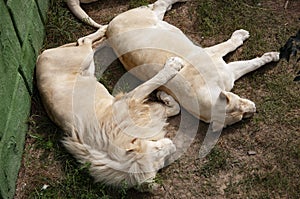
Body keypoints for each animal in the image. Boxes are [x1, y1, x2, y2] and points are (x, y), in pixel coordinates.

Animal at [36, 27, 184, 187]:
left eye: (162, 162)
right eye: (158, 150)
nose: (173, 146)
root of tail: (39, 57)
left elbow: (173, 108)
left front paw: (165, 97)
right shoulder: (128, 100)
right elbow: (156, 81)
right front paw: (173, 67)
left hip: (87, 65)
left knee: (85, 42)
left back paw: (105, 34)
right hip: (83, 59)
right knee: (84, 41)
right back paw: (104, 33)